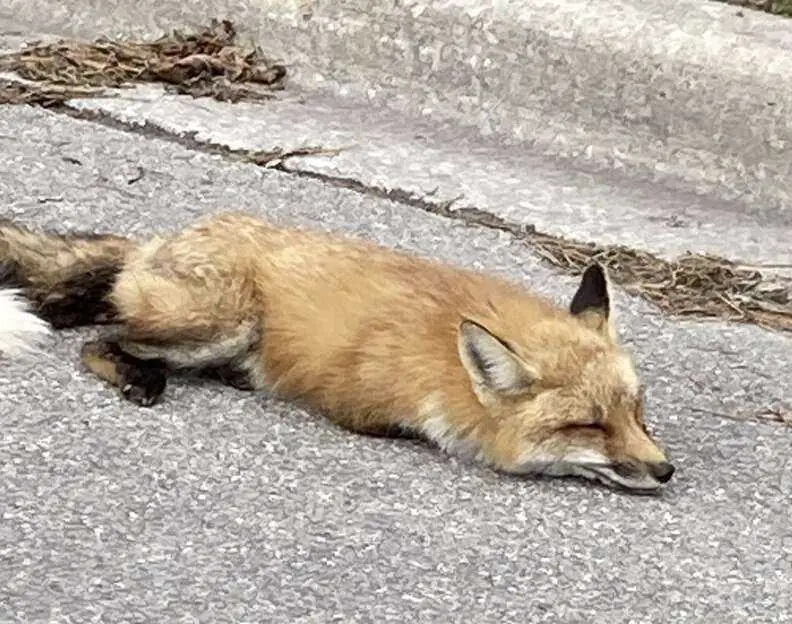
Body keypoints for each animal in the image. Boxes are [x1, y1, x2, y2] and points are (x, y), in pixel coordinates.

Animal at [0, 213, 676, 492]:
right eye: (588, 426)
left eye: (637, 414)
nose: (665, 470)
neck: (443, 367)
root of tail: (157, 239)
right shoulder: (362, 409)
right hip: (224, 322)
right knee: (102, 338)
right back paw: (138, 374)